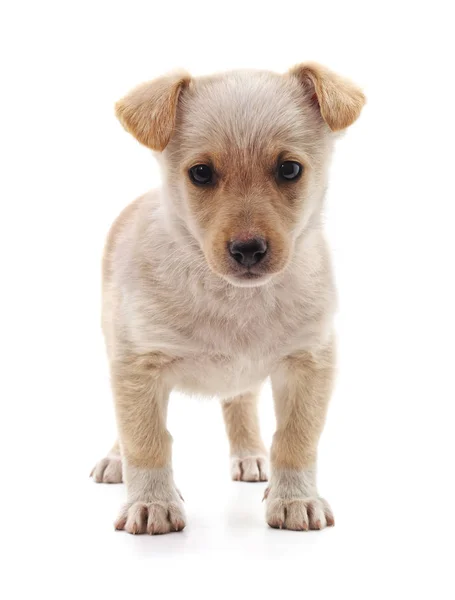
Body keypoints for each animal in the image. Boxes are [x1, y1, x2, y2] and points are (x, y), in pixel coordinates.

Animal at [91, 63, 366, 536]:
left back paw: (250, 454)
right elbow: (146, 440)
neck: (237, 298)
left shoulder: (310, 362)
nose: (248, 250)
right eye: (201, 173)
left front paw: (295, 497)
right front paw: (152, 503)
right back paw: (114, 460)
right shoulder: (138, 365)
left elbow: (296, 437)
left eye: (289, 169)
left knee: (240, 402)